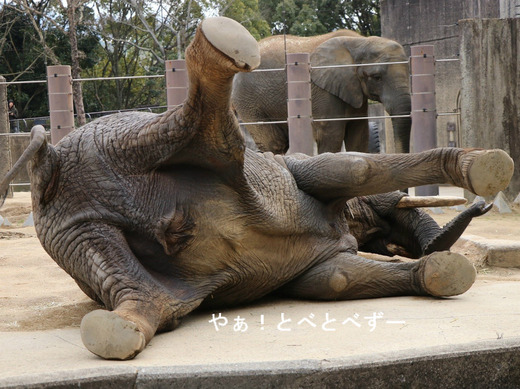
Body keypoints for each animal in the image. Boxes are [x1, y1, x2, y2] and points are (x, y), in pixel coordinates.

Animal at [234, 29, 412, 154]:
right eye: (376, 77)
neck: (361, 42)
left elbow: (358, 134)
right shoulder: (323, 91)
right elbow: (332, 135)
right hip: (248, 102)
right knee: (275, 142)